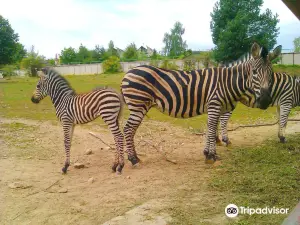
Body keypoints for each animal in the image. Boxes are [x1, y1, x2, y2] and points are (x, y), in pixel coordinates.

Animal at [119, 41, 282, 171]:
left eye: (271, 73)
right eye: (254, 72)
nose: (265, 101)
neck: (227, 83)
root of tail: (128, 73)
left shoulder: (216, 108)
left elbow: (211, 128)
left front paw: (210, 153)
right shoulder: (214, 105)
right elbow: (212, 129)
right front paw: (211, 156)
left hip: (140, 107)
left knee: (131, 131)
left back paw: (136, 158)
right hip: (138, 105)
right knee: (128, 129)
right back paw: (133, 160)